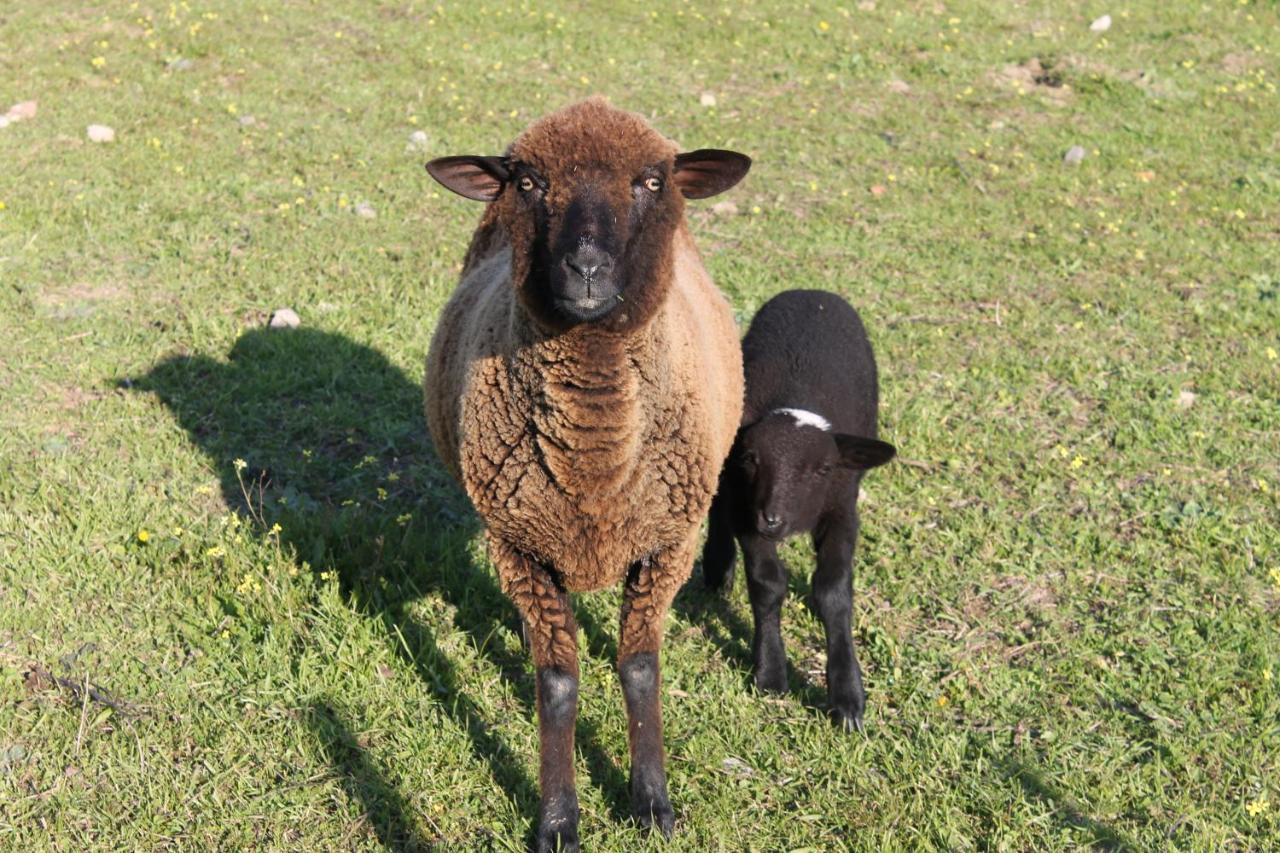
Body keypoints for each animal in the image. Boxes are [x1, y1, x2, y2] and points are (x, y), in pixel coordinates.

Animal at [424, 97, 747, 845]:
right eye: (530, 181)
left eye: (652, 181)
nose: (588, 268)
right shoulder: (518, 547)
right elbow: (557, 682)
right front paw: (557, 820)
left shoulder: (668, 544)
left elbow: (640, 667)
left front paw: (652, 803)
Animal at [696, 289, 896, 727]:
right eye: (751, 459)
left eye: (822, 469)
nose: (774, 520)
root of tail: (811, 293)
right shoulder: (747, 509)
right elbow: (767, 583)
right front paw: (770, 671)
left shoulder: (841, 511)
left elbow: (834, 590)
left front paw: (848, 697)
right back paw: (718, 568)